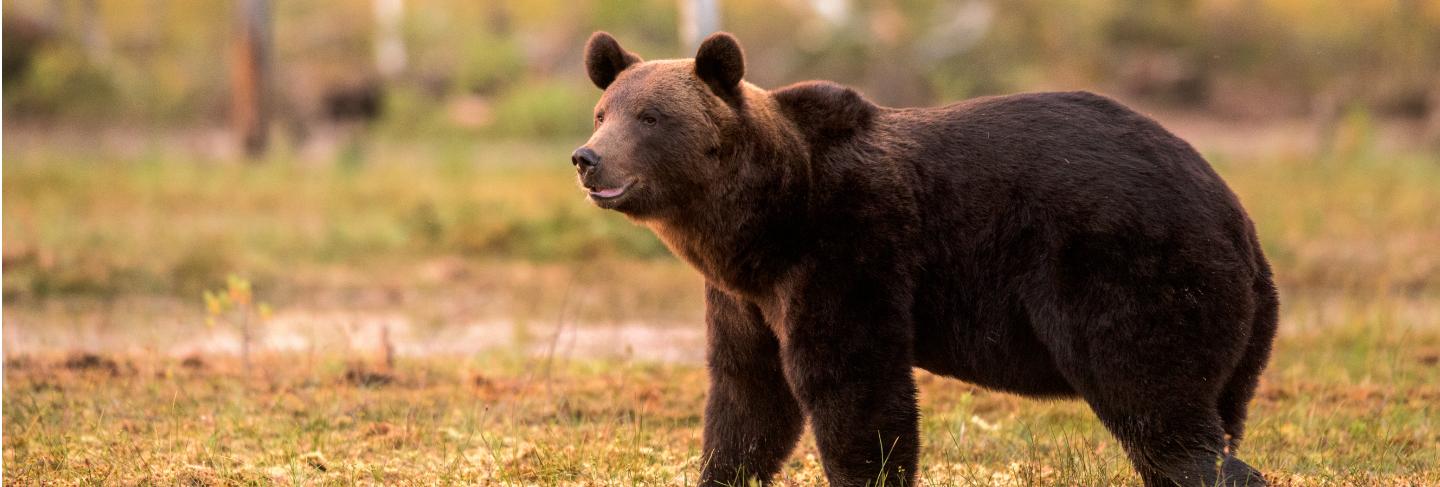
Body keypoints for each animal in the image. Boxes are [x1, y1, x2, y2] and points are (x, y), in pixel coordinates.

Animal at [570, 31, 1272, 487]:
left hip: (1129, 270)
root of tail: (1233, 211)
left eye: (650, 116)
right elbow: (749, 395)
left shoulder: (849, 251)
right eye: (603, 111)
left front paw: (868, 471)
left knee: (1155, 408)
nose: (587, 157)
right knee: (1209, 413)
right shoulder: (746, 295)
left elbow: (855, 389)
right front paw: (724, 467)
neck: (767, 217)